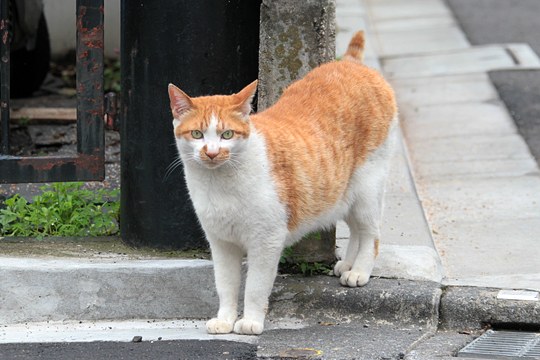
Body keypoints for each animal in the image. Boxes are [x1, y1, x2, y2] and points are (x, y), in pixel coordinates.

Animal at [167, 32, 398, 336]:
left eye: (227, 134)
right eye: (197, 134)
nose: (212, 152)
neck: (219, 184)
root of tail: (350, 62)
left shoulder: (266, 240)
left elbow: (254, 287)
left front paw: (251, 321)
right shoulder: (221, 243)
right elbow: (226, 285)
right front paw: (226, 319)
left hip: (366, 188)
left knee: (371, 233)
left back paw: (359, 271)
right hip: (343, 193)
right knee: (357, 230)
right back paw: (347, 264)